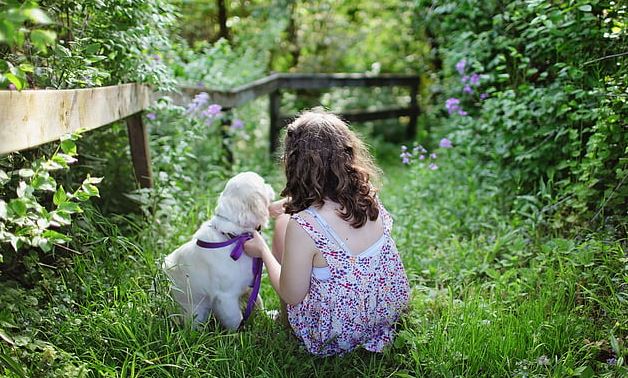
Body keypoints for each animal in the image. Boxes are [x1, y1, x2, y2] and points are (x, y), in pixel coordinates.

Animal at [164, 171, 274, 328]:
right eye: (263, 183)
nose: (270, 185)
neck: (234, 237)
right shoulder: (226, 297)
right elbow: (236, 319)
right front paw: (239, 332)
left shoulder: (250, 284)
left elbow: (258, 301)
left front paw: (267, 316)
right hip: (195, 312)